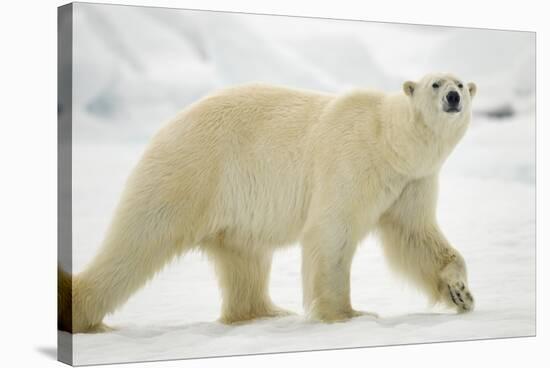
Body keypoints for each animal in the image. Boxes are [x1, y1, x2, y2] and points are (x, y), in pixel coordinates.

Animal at [57, 72, 478, 334]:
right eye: (435, 83)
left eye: (460, 82)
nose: (453, 97)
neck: (389, 141)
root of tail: (169, 125)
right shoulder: (350, 160)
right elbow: (332, 232)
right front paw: (347, 313)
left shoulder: (410, 182)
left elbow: (415, 235)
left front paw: (462, 293)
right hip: (190, 172)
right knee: (138, 240)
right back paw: (80, 310)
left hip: (234, 207)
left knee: (245, 259)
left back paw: (263, 312)